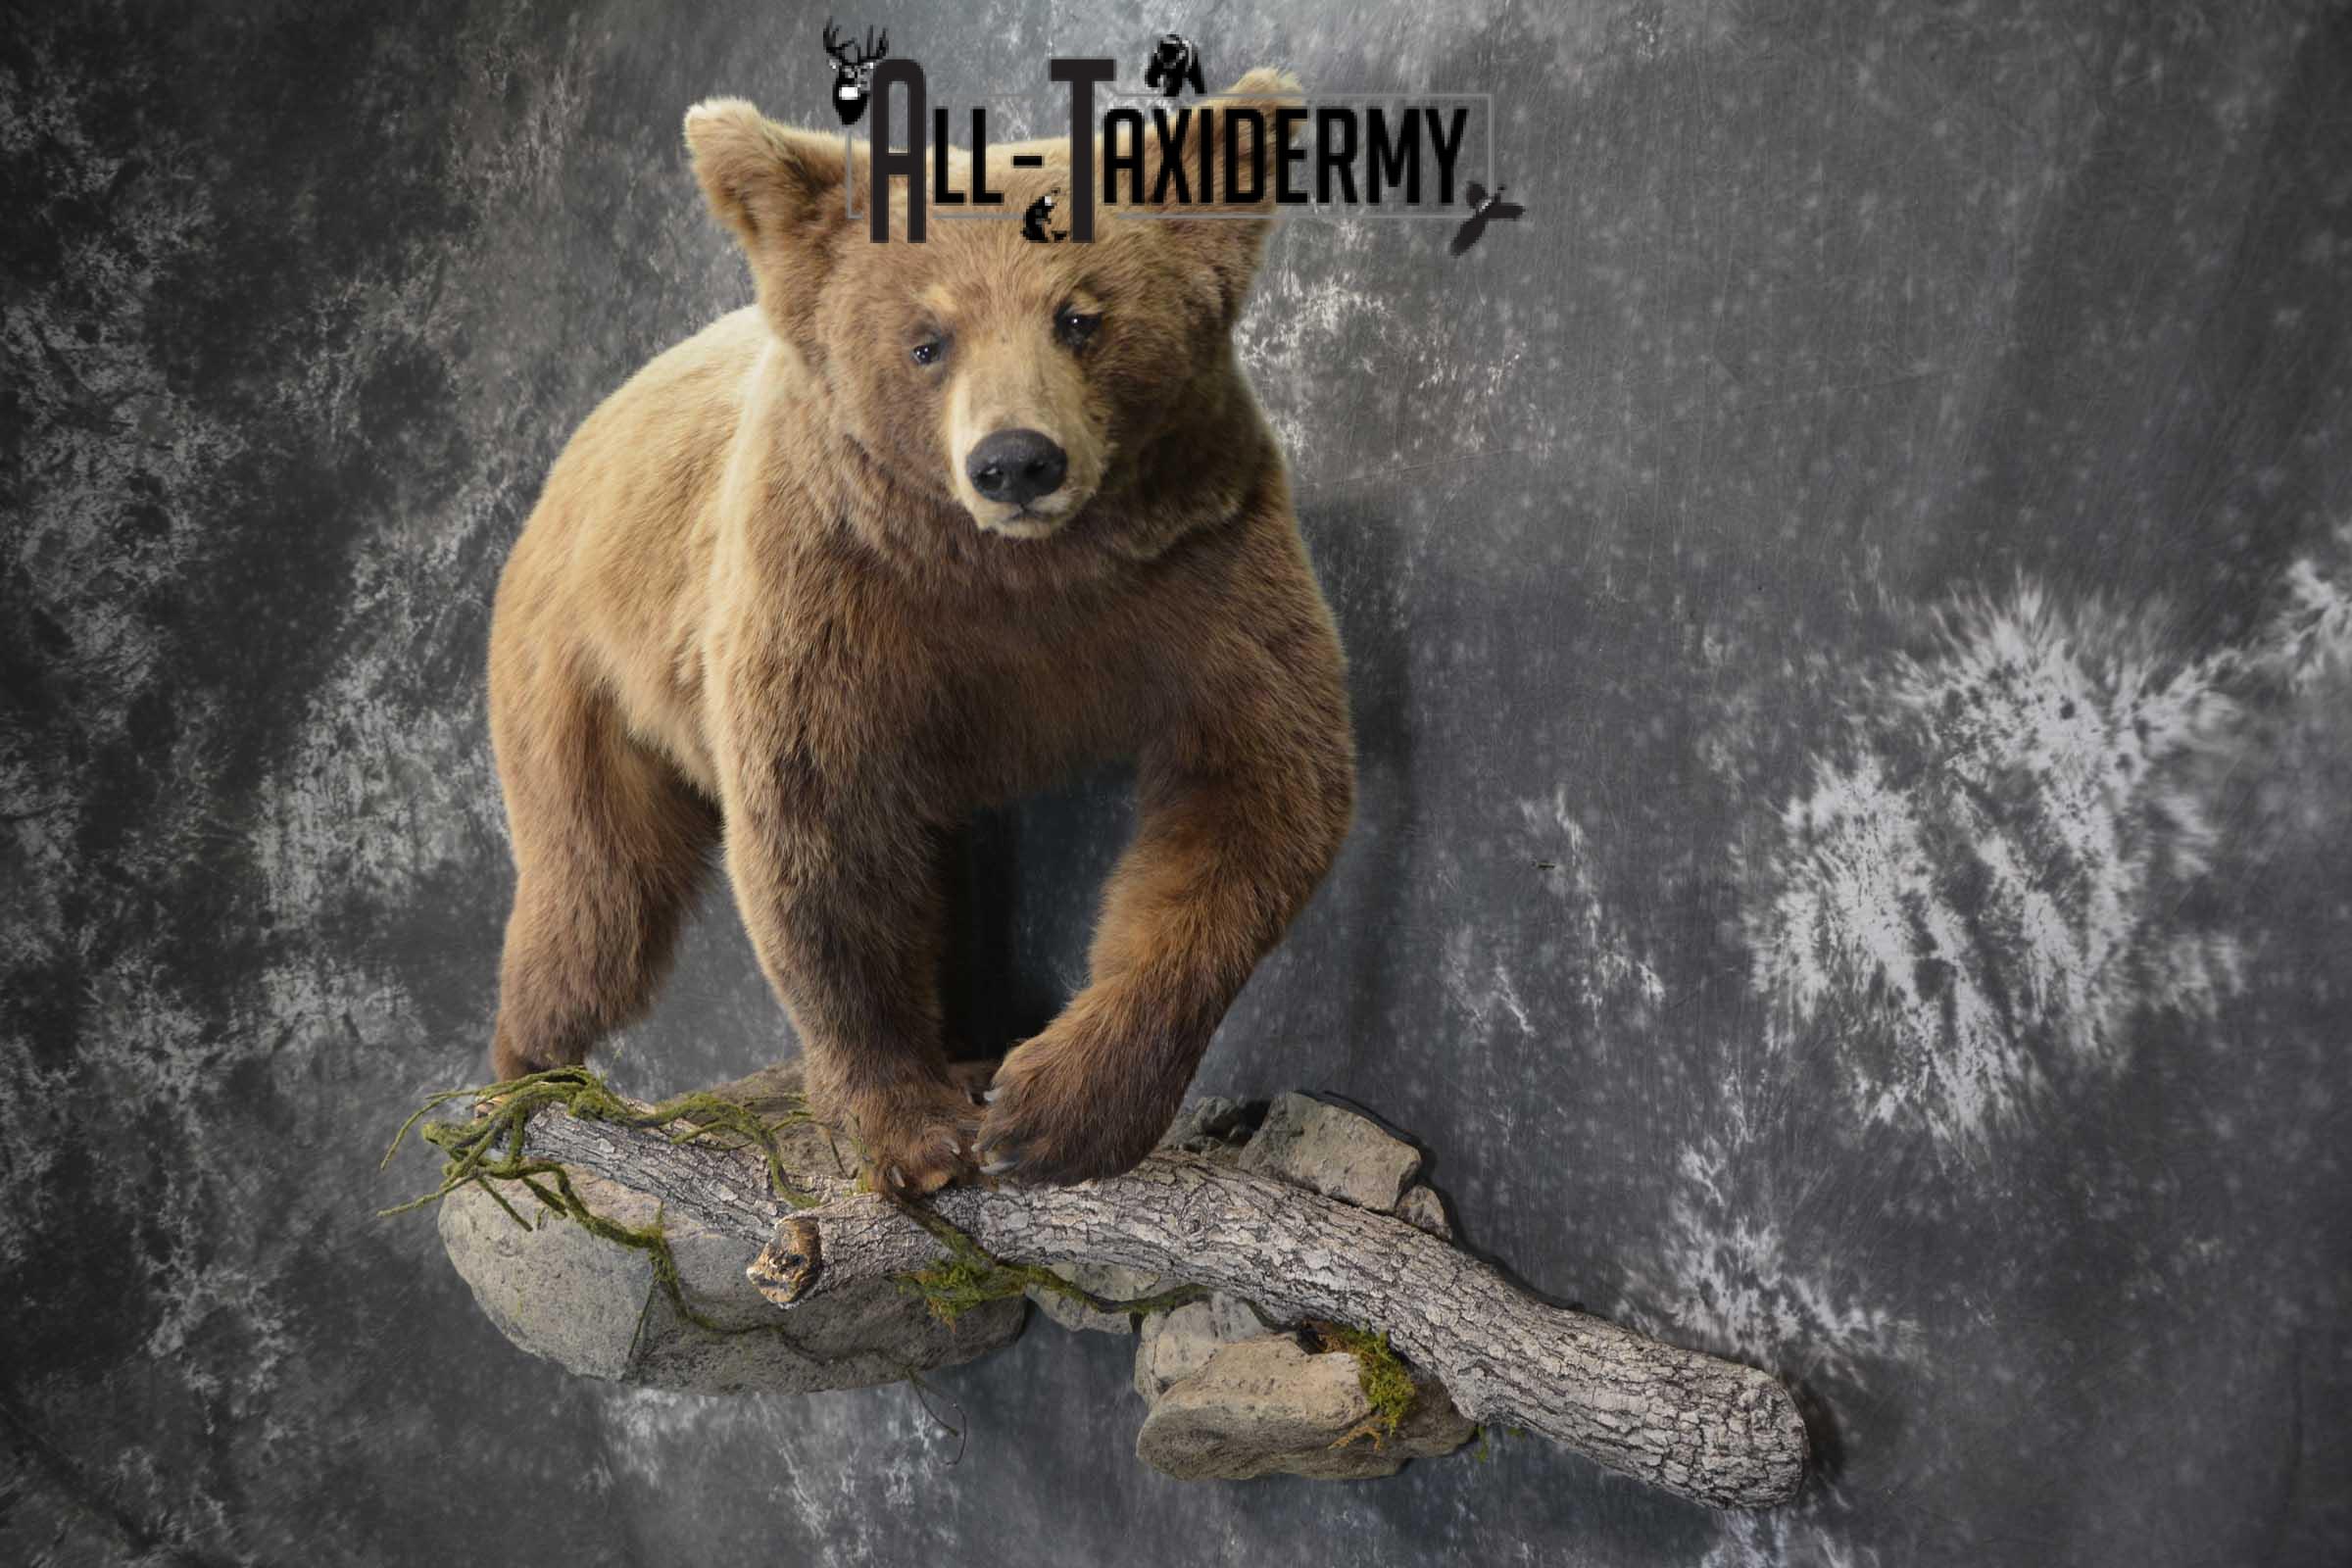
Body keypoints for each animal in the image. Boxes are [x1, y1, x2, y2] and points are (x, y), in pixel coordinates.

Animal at [484, 70, 1354, 1193]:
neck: (1015, 573)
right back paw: (522, 1072)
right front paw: (916, 1127)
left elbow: (1257, 789)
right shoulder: (837, 593)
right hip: (578, 670)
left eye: (1080, 316)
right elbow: (824, 842)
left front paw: (1052, 1107)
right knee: (597, 895)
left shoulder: (1203, 562)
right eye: (926, 340)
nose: (1016, 460)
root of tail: (576, 447)